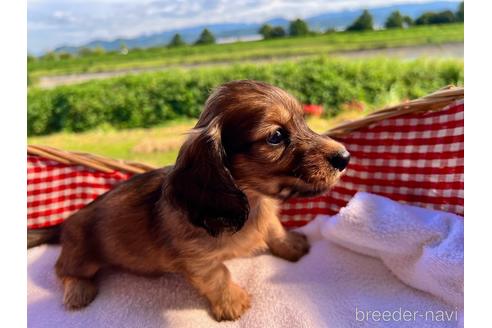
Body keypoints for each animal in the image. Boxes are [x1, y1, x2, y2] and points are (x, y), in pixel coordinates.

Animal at [54, 80, 350, 322]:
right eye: (276, 136)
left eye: (304, 121)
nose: (345, 157)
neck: (252, 201)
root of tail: (65, 224)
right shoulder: (197, 258)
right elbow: (218, 275)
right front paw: (232, 302)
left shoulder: (266, 217)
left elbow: (273, 228)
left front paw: (290, 244)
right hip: (81, 255)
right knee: (62, 271)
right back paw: (78, 290)